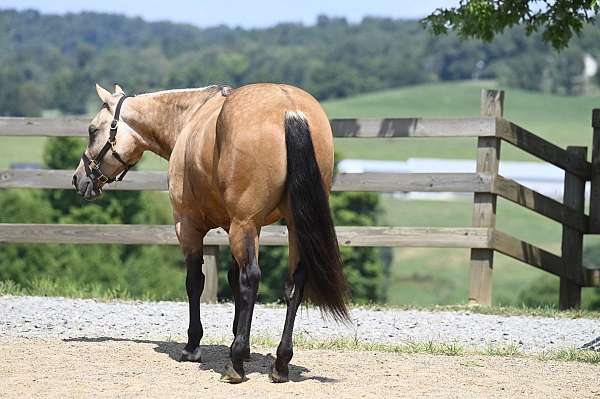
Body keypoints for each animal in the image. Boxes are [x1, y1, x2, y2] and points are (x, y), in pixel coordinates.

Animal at [72, 83, 350, 382]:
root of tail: (290, 110)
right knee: (294, 283)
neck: (189, 117)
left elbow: (195, 282)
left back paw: (235, 365)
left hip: (244, 224)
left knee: (251, 278)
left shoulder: (188, 226)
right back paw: (280, 362)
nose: (79, 178)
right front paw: (242, 344)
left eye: (92, 130)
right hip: (290, 226)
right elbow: (232, 278)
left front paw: (194, 346)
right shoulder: (237, 226)